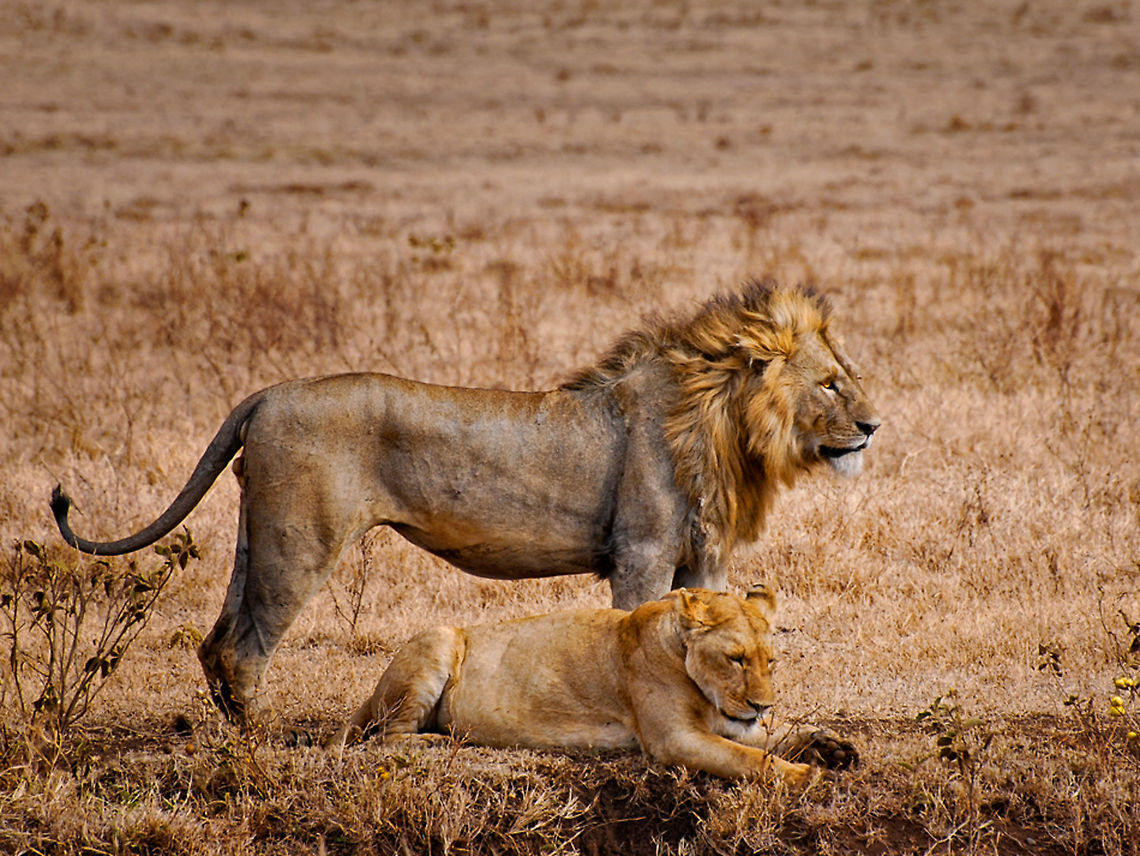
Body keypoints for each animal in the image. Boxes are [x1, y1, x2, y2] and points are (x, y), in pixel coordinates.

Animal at [50, 280, 880, 721]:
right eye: (831, 383)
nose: (874, 426)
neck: (722, 427)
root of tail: (266, 394)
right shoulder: (641, 554)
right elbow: (632, 638)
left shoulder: (703, 562)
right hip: (301, 539)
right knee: (244, 648)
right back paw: (257, 748)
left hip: (259, 536)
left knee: (217, 638)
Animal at [325, 585, 858, 783]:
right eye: (735, 658)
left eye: (771, 661)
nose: (761, 705)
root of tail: (371, 692)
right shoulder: (673, 740)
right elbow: (749, 757)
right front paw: (805, 775)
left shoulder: (725, 722)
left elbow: (772, 738)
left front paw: (829, 748)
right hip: (436, 638)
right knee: (388, 738)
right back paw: (450, 742)